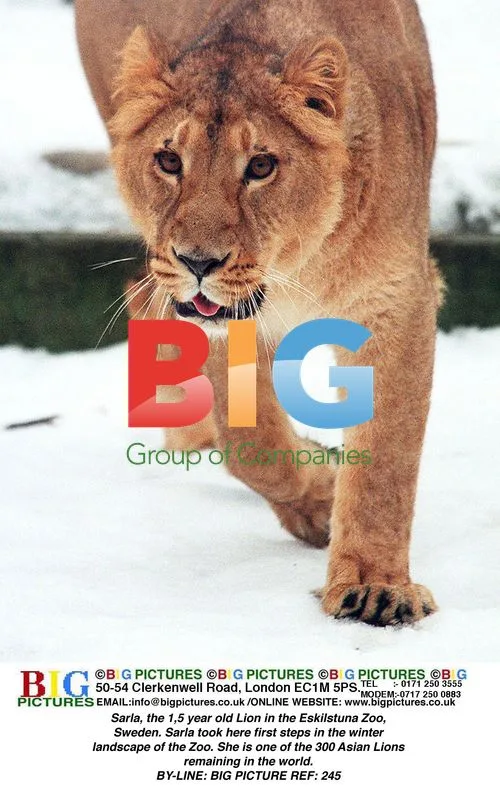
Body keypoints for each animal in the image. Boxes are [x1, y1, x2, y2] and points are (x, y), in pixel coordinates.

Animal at [76, 0, 442, 626]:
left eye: (262, 166)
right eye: (168, 160)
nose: (198, 261)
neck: (298, 265)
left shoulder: (398, 303)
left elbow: (386, 466)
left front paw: (375, 589)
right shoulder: (217, 324)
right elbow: (253, 446)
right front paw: (320, 492)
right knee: (145, 299)